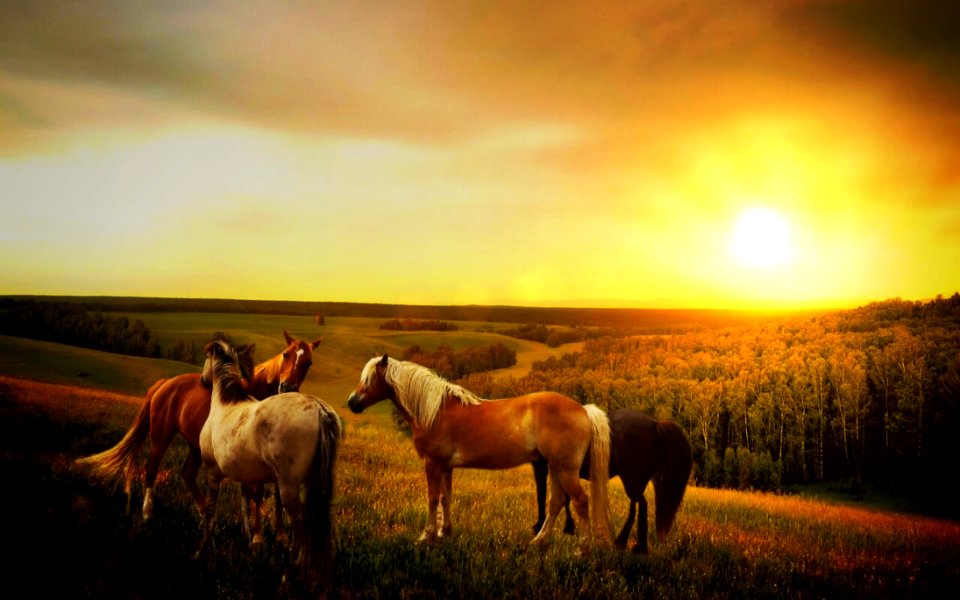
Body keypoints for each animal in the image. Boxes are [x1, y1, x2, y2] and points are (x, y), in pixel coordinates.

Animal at [76, 328, 322, 536]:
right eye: (285, 355)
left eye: (308, 362)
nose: (287, 387)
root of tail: (165, 383)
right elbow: (254, 494)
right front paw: (255, 537)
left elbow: (269, 495)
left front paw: (272, 536)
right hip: (161, 436)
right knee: (151, 468)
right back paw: (148, 513)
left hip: (194, 445)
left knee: (187, 473)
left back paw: (206, 518)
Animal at [198, 340, 342, 588]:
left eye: (206, 358)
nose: (202, 379)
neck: (225, 404)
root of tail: (319, 409)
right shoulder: (250, 478)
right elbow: (249, 502)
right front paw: (252, 540)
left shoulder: (213, 473)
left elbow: (210, 511)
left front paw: (204, 550)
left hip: (289, 487)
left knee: (300, 523)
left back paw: (290, 574)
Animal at [346, 354, 616, 552]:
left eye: (369, 380)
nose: (352, 402)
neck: (435, 411)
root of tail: (583, 409)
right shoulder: (446, 466)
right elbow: (445, 497)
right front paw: (445, 532)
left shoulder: (432, 463)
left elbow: (432, 499)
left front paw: (426, 536)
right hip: (554, 467)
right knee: (556, 503)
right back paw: (539, 541)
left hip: (566, 469)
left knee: (580, 502)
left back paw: (582, 549)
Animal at [528, 410, 692, 556]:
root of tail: (656, 424)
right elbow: (564, 499)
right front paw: (568, 527)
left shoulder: (543, 467)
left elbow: (543, 496)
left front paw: (540, 527)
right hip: (636, 482)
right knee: (636, 505)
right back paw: (626, 543)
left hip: (631, 480)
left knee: (641, 504)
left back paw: (634, 546)